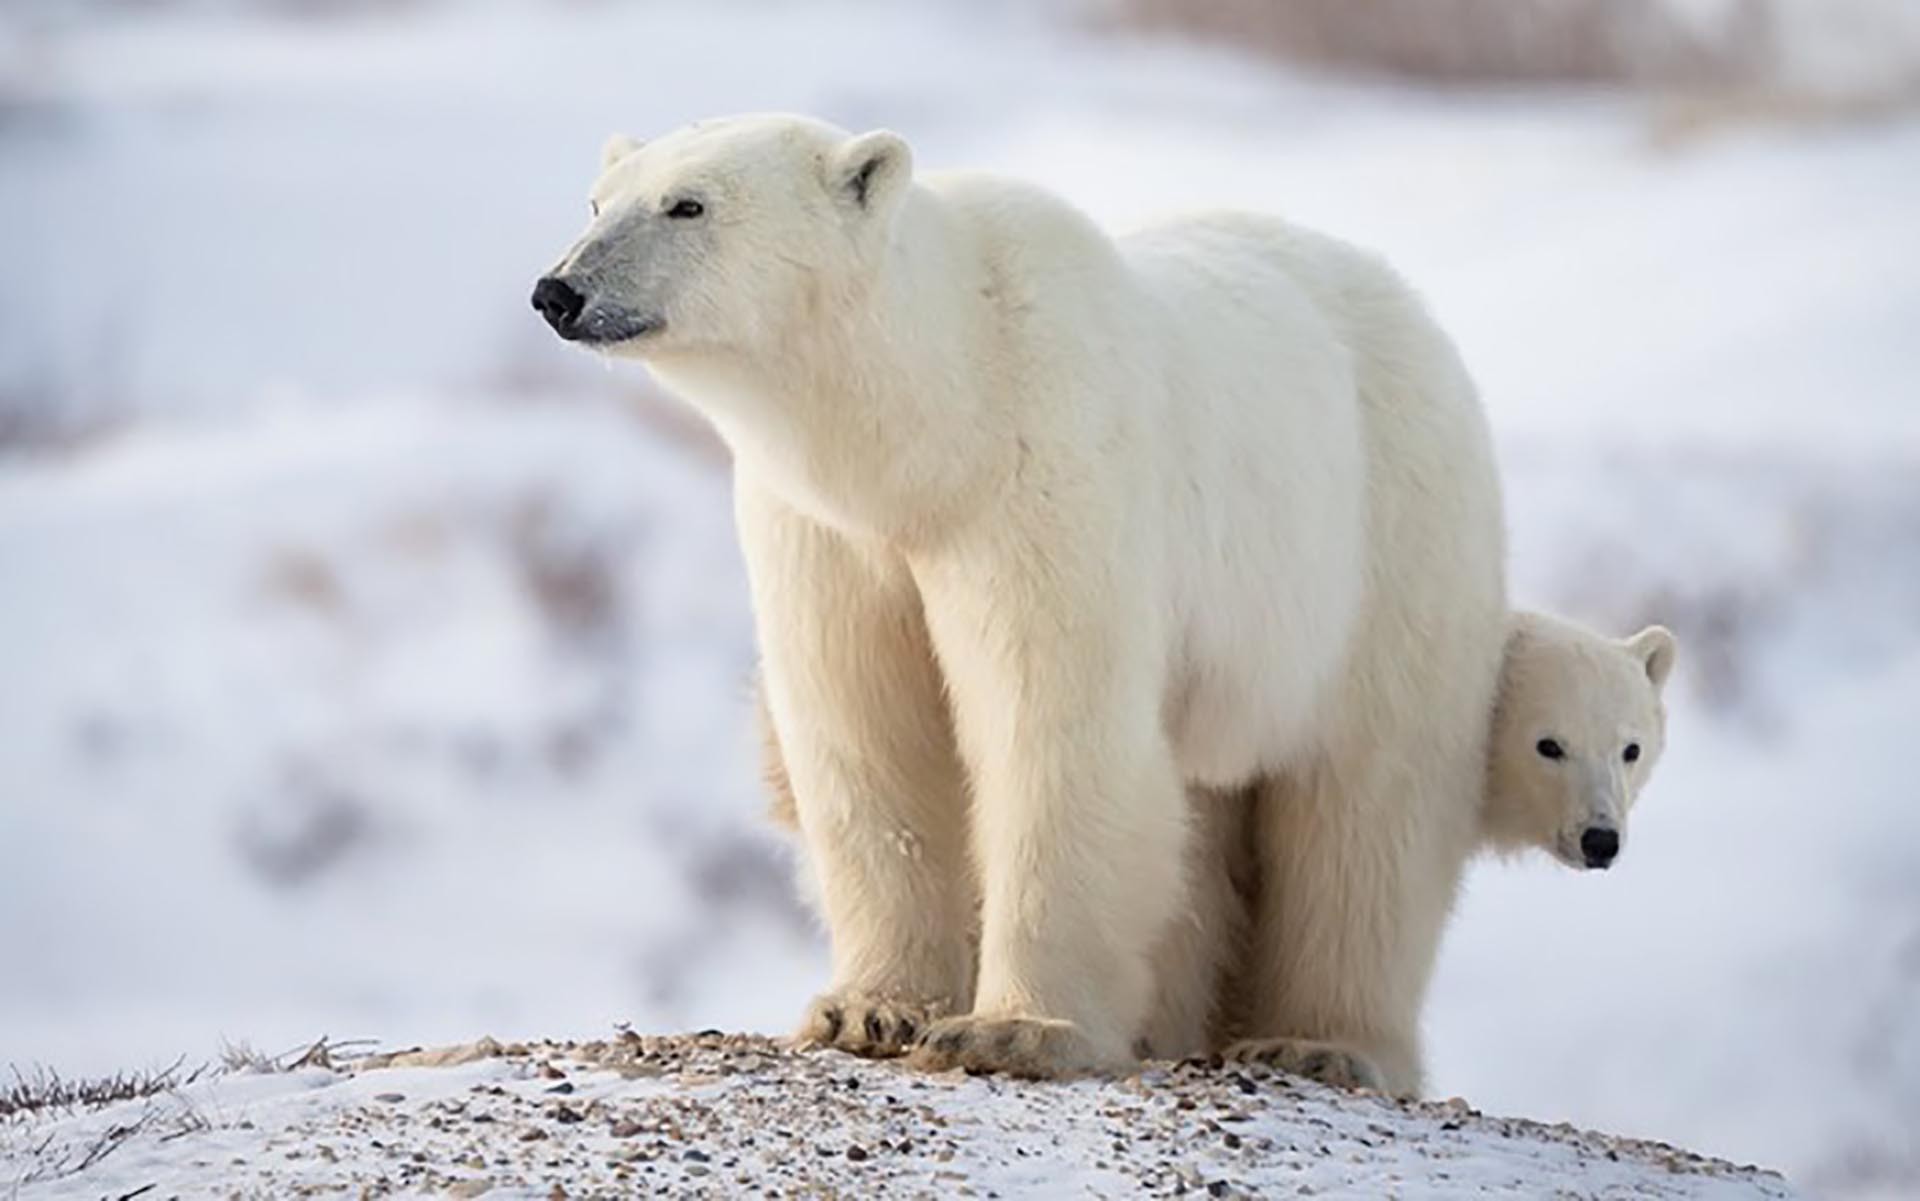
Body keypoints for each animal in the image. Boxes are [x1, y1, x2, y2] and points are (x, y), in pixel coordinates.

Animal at [533, 114, 1505, 1097]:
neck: (942, 414)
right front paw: (867, 1009)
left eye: (687, 204)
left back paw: (1318, 1041)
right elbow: (874, 735)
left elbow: (1053, 724)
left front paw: (1012, 1029)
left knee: (1370, 810)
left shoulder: (1045, 475)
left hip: (1392, 542)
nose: (557, 291)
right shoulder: (827, 534)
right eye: (598, 202)